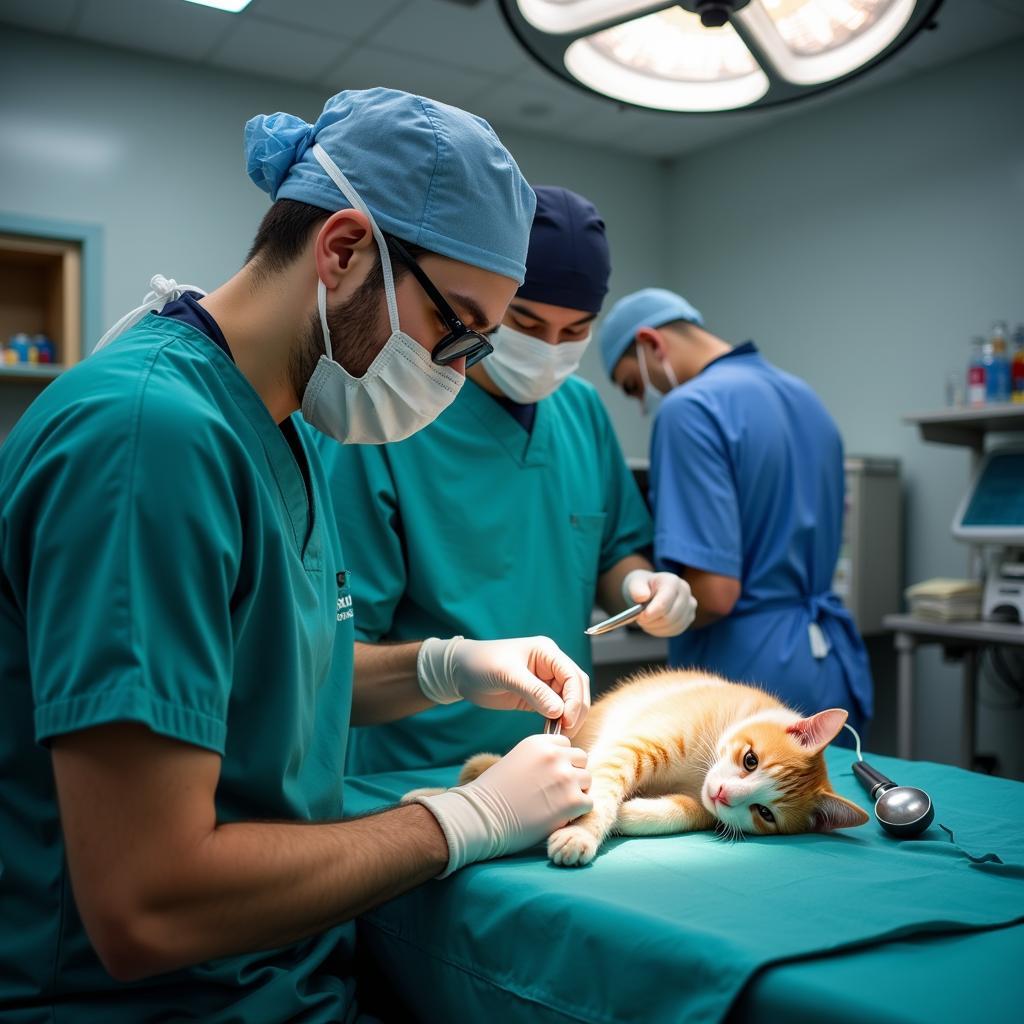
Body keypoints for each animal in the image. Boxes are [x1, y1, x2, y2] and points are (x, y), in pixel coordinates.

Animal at [403, 667, 868, 868]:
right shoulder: (630, 745)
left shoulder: (699, 805)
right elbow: (601, 790)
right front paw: (582, 832)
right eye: (750, 760)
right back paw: (435, 794)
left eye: (765, 813)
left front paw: (626, 816)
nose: (723, 794)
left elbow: (676, 812)